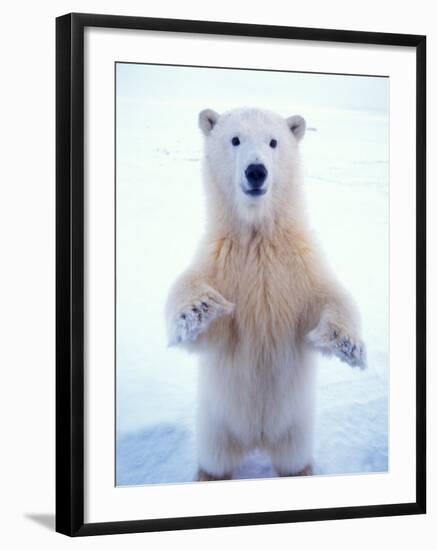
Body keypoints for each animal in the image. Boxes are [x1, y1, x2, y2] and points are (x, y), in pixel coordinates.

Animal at [165, 108, 362, 484]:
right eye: (235, 139)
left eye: (273, 141)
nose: (256, 171)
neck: (257, 237)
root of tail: (257, 439)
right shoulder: (221, 262)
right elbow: (199, 314)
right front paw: (199, 307)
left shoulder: (297, 265)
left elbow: (328, 296)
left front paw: (347, 344)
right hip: (216, 424)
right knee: (215, 460)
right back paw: (208, 475)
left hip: (296, 427)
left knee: (293, 459)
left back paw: (302, 471)